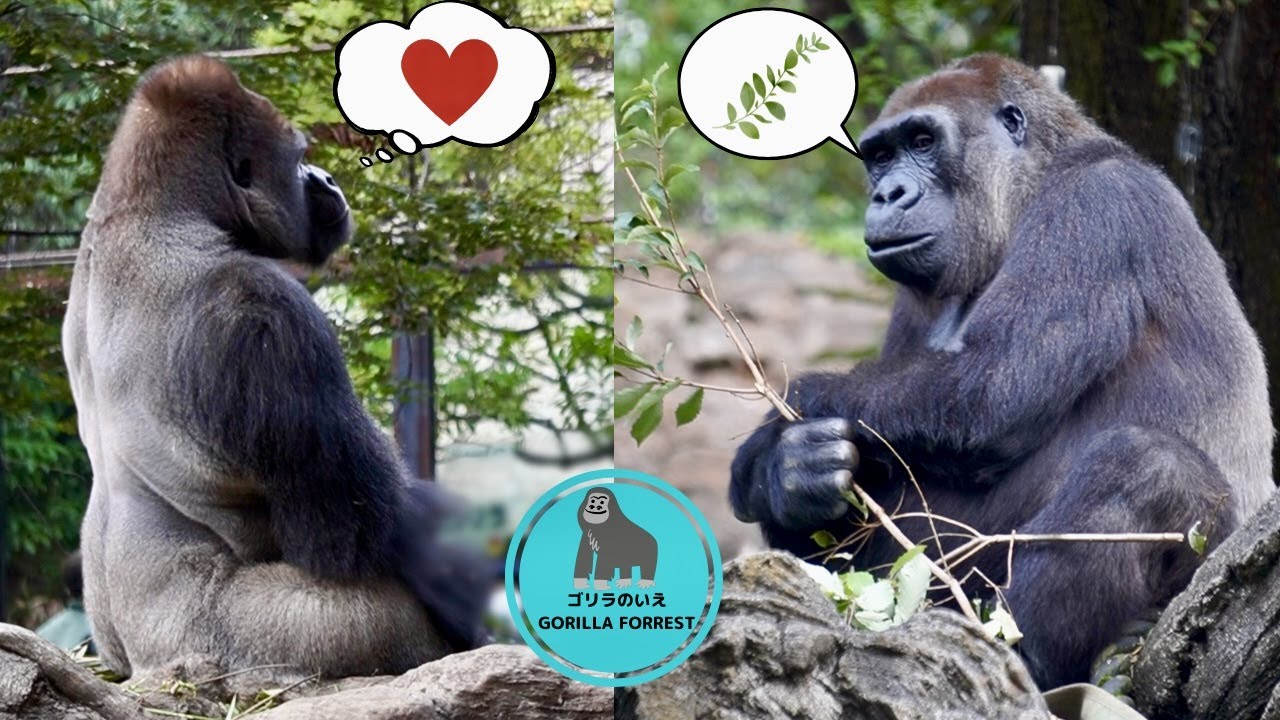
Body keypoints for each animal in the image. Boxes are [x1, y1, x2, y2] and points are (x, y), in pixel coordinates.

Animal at [62, 55, 486, 683]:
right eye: (299, 155)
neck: (143, 208)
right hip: (234, 660)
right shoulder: (263, 306)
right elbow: (364, 536)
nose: (326, 179)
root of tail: (143, 670)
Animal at [730, 54, 1273, 688]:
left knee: (1148, 464)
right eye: (881, 156)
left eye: (923, 141)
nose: (888, 194)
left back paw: (1030, 659)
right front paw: (785, 471)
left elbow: (989, 394)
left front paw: (780, 422)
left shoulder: (1096, 204)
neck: (1033, 183)